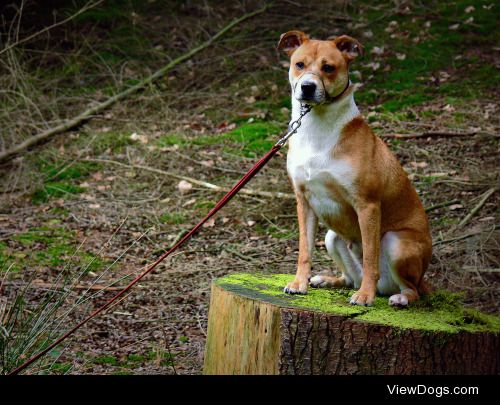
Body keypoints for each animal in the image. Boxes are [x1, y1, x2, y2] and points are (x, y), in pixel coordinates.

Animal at [280, 30, 432, 306]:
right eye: (299, 64)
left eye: (328, 68)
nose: (307, 87)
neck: (316, 129)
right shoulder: (303, 202)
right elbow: (304, 250)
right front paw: (299, 283)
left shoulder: (367, 205)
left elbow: (371, 257)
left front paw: (365, 296)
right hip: (331, 237)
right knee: (350, 278)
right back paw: (329, 280)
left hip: (396, 243)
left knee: (411, 289)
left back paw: (396, 296)